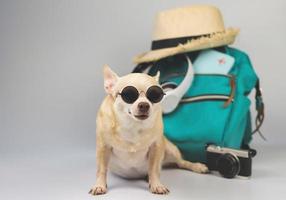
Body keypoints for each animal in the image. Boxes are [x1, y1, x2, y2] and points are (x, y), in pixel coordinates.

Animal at [89, 66, 208, 195]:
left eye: (155, 95)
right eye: (128, 95)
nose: (144, 105)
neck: (132, 126)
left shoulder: (156, 147)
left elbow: (154, 169)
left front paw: (156, 185)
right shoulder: (103, 147)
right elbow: (101, 169)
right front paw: (99, 185)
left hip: (171, 150)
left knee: (181, 162)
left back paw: (197, 166)